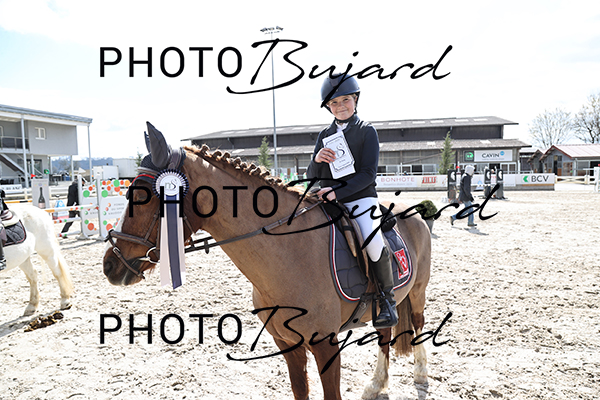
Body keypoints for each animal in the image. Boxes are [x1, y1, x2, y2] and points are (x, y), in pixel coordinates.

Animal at [103, 122, 431, 400]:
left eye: (143, 196)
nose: (110, 264)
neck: (289, 254)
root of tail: (412, 210)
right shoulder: (286, 343)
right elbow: (300, 391)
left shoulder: (325, 345)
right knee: (385, 332)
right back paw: (376, 385)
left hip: (417, 291)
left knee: (416, 324)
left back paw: (421, 376)